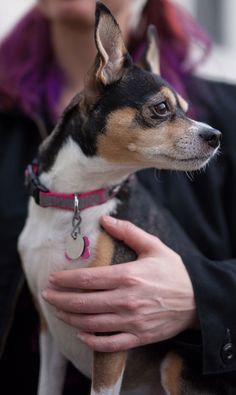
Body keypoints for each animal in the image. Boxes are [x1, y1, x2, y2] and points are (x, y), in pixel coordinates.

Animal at [18, 3, 221, 395]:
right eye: (161, 108)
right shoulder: (49, 332)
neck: (77, 197)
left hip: (175, 364)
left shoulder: (112, 331)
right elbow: (46, 385)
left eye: (186, 108)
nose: (216, 136)